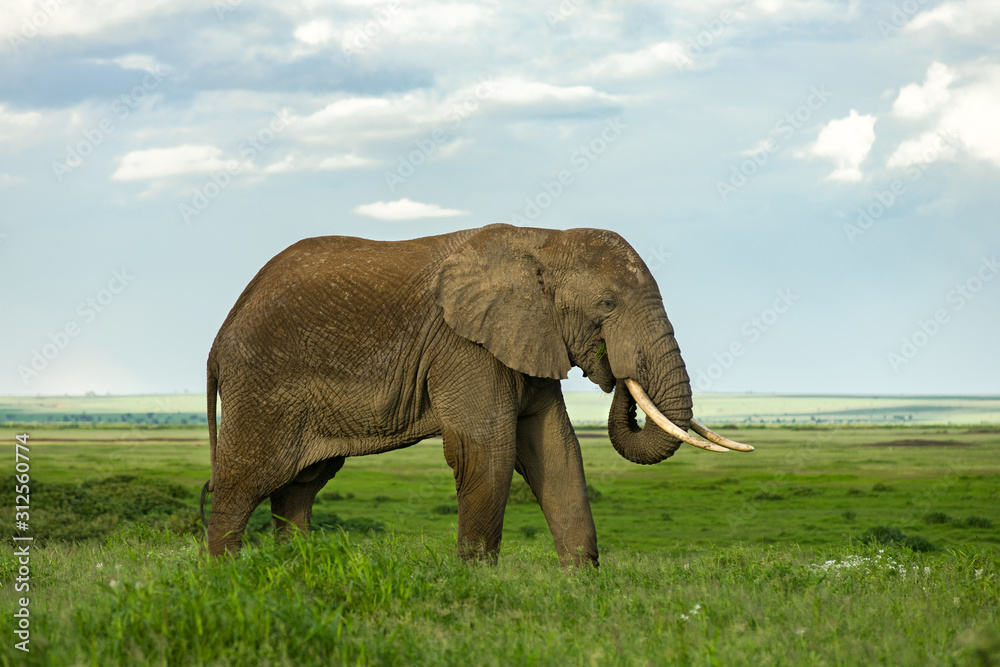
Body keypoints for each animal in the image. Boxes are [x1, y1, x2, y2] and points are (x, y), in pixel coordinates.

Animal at [200, 223, 752, 567]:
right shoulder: (465, 345)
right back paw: (228, 580)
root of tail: (220, 334)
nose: (612, 366)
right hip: (262, 387)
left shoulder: (526, 337)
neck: (543, 240)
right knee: (242, 485)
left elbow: (557, 451)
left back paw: (295, 570)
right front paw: (476, 583)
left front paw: (582, 587)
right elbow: (487, 451)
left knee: (299, 487)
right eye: (608, 304)